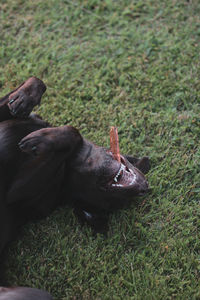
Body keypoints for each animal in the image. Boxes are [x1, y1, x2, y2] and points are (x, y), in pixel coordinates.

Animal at [0, 77, 150, 298]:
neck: (70, 170)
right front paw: (23, 98)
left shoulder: (17, 192)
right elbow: (37, 82)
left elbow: (73, 132)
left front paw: (42, 139)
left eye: (112, 202)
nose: (142, 189)